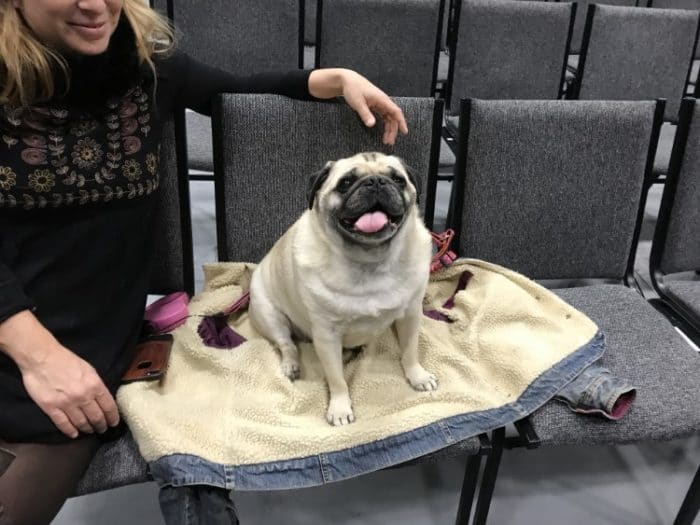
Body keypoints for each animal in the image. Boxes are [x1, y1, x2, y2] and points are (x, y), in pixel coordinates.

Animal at [248, 152, 437, 426]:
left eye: (397, 180)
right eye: (346, 182)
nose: (376, 181)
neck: (369, 261)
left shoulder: (411, 315)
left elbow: (410, 351)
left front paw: (417, 376)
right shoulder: (327, 336)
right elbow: (337, 379)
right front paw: (339, 408)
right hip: (269, 315)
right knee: (286, 344)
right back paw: (291, 365)